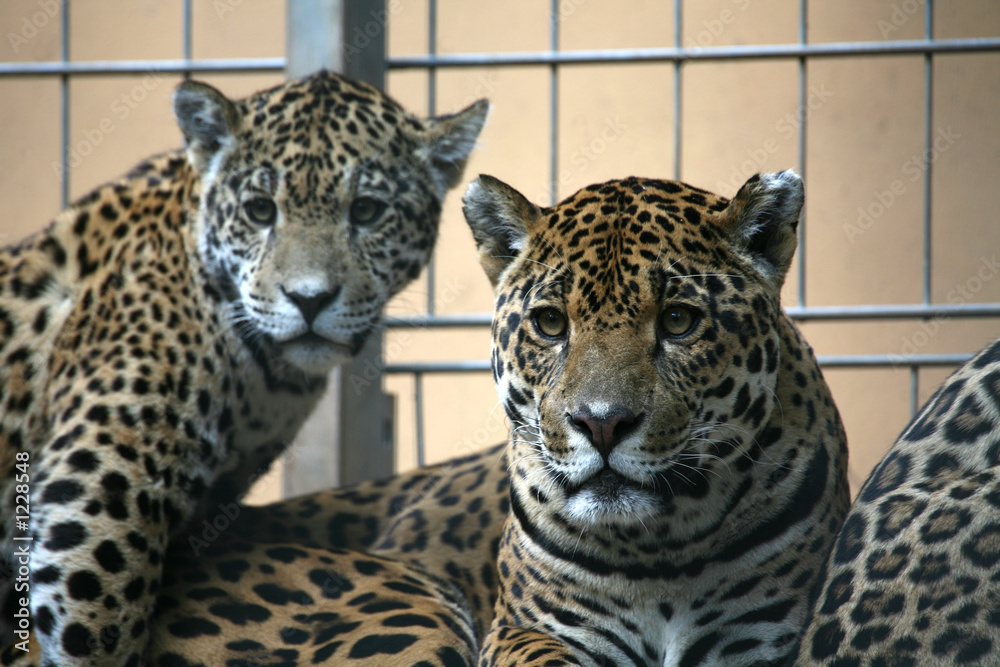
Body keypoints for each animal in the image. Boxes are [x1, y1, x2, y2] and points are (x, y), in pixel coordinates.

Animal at [0, 69, 487, 666]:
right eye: (260, 210)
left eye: (367, 211)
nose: (309, 299)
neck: (265, 379)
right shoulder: (100, 479)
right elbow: (99, 622)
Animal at [461, 171, 851, 666]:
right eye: (550, 323)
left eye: (678, 319)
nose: (601, 424)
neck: (654, 556)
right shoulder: (518, 628)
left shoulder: (763, 637)